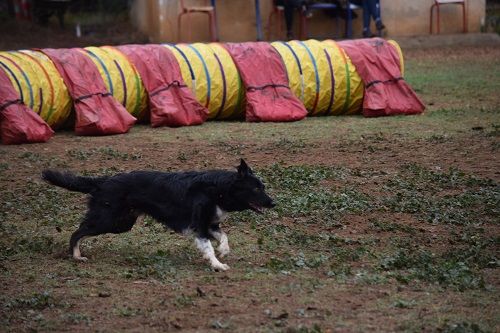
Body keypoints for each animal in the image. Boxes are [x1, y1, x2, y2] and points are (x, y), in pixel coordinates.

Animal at [43, 158, 276, 270]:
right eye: (256, 189)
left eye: (263, 187)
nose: (274, 203)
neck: (219, 189)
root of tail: (103, 180)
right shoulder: (199, 225)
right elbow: (208, 247)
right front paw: (217, 264)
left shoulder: (210, 224)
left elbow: (224, 236)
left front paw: (224, 251)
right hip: (108, 220)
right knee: (77, 232)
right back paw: (76, 256)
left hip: (122, 223)